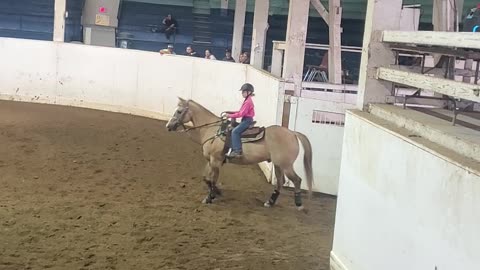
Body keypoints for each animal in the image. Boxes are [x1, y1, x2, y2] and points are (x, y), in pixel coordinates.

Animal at [166, 98, 316, 210]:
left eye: (179, 111)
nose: (168, 126)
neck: (213, 130)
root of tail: (293, 133)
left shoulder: (215, 160)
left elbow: (213, 179)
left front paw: (209, 197)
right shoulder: (211, 160)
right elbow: (206, 178)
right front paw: (217, 192)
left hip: (286, 165)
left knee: (297, 180)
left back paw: (299, 204)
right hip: (278, 165)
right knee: (280, 182)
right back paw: (270, 202)